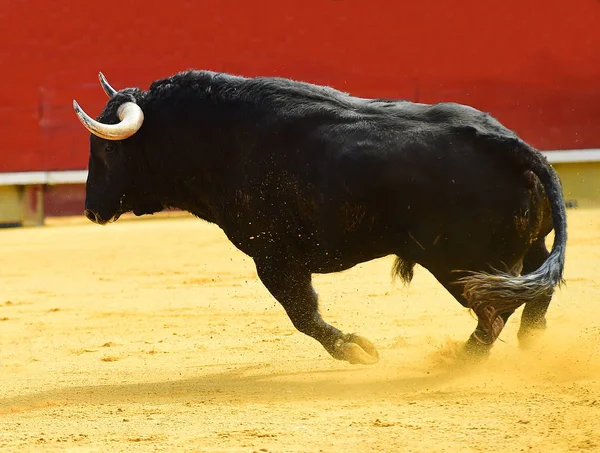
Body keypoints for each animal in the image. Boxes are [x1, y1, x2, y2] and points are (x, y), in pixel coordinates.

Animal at [72, 71, 564, 368]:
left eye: (108, 150)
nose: (91, 209)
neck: (219, 138)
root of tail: (513, 145)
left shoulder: (272, 255)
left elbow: (301, 313)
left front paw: (356, 350)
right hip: (519, 251)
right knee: (535, 292)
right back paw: (533, 343)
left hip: (462, 265)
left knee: (495, 313)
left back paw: (458, 360)